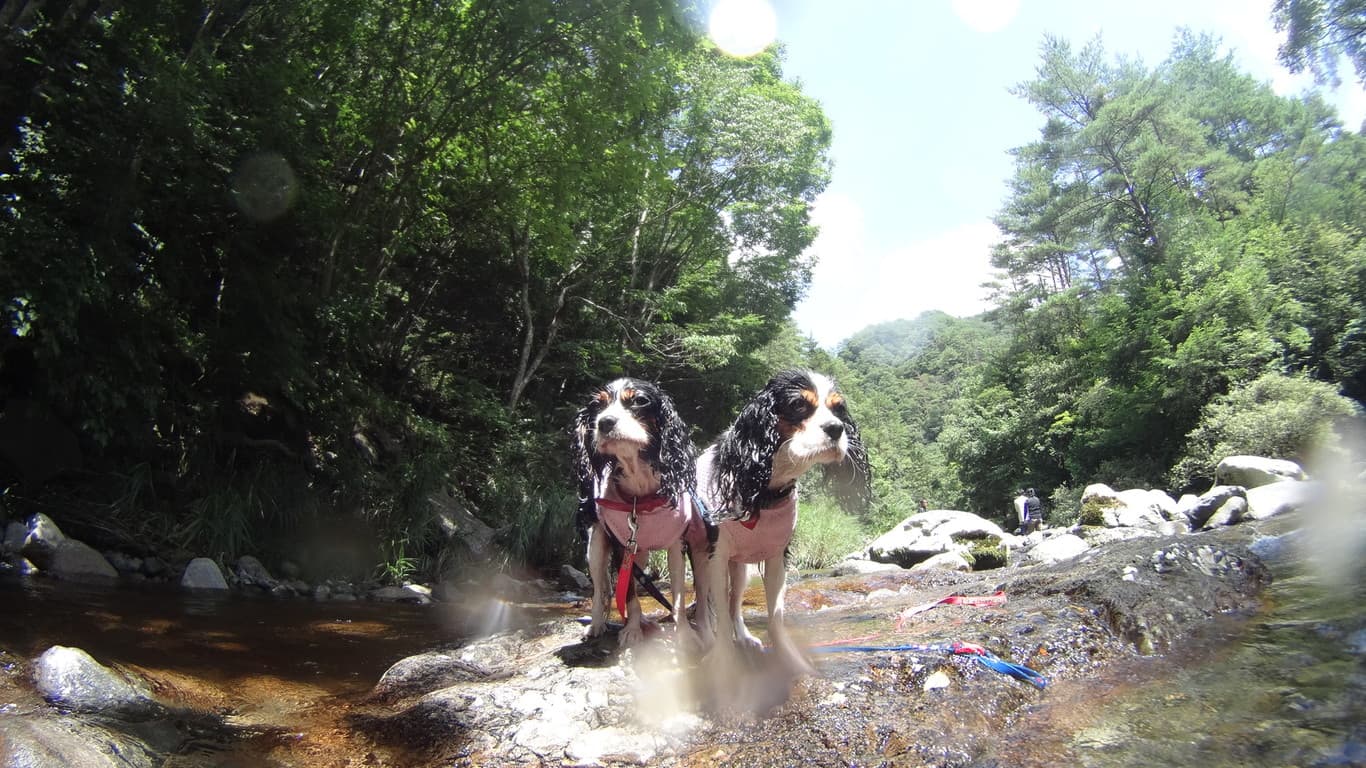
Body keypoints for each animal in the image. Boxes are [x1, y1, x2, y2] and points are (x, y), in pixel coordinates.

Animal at [570, 374, 710, 645]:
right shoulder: (621, 546)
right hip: (596, 544)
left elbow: (678, 595)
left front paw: (685, 634)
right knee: (601, 588)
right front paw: (632, 630)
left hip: (640, 552)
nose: (604, 422)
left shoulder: (676, 545)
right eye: (597, 406)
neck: (641, 496)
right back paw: (598, 624)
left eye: (640, 401)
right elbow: (629, 595)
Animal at [699, 371, 868, 669]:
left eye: (838, 409)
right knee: (705, 606)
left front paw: (790, 661)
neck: (763, 490)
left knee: (734, 604)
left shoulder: (778, 556)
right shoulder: (716, 556)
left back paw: (745, 637)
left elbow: (775, 616)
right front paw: (724, 663)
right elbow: (719, 617)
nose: (837, 428)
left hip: (741, 569)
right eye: (798, 404)